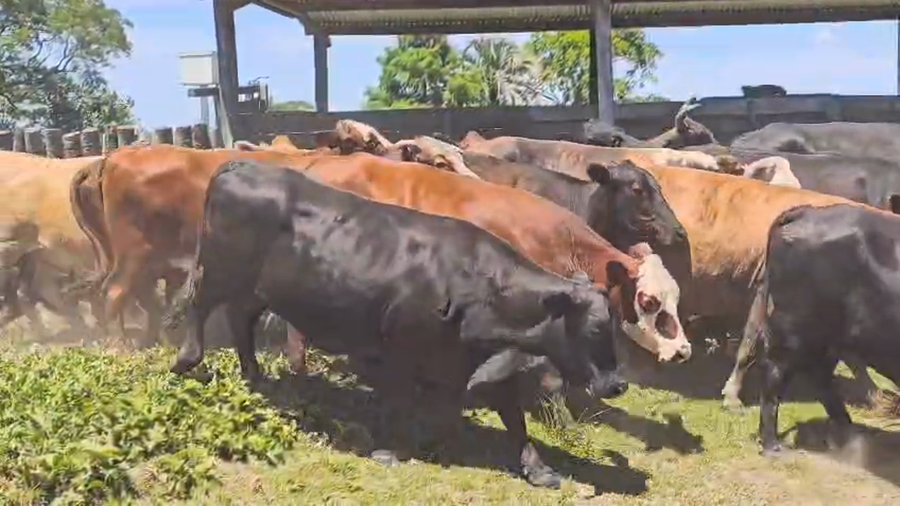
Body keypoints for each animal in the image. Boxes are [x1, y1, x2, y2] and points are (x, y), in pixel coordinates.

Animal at [164, 159, 628, 488]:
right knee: (199, 306)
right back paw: (187, 361)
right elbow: (398, 400)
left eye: (616, 327)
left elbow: (514, 418)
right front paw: (390, 449)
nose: (619, 384)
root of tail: (239, 164)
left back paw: (254, 376)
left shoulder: (484, 359)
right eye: (594, 329)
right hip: (219, 270)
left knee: (240, 320)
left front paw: (538, 468)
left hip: (255, 289)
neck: (482, 286)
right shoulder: (400, 347)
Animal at [750, 204, 900, 455]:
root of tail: (809, 211)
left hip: (826, 339)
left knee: (820, 378)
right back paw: (773, 445)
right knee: (775, 375)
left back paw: (849, 430)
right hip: (797, 329)